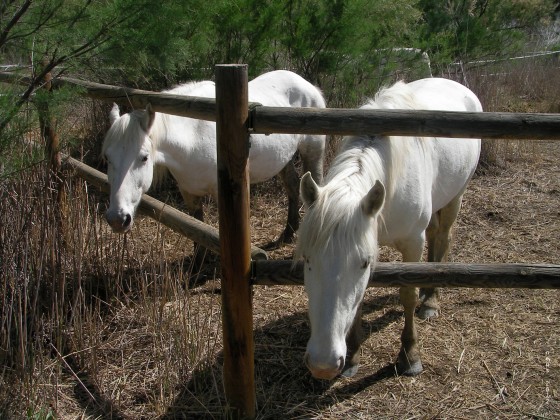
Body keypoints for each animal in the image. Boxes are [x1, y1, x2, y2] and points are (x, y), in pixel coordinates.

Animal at [103, 70, 326, 251]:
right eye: (107, 157)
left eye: (144, 158)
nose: (118, 219)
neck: (193, 137)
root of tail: (307, 85)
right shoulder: (189, 193)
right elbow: (197, 228)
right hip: (284, 160)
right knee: (292, 186)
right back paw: (287, 235)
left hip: (313, 153)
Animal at [296, 77, 484, 378]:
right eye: (307, 259)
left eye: (363, 263)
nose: (323, 365)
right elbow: (359, 300)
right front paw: (354, 357)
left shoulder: (412, 243)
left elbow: (407, 294)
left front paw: (409, 355)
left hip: (456, 197)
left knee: (443, 238)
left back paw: (430, 300)